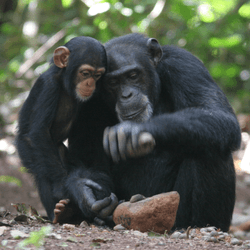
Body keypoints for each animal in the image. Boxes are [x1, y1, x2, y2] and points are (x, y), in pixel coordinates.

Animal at [15, 36, 117, 224]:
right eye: (85, 73)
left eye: (97, 75)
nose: (90, 83)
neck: (65, 84)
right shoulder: (47, 86)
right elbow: (39, 132)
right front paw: (71, 187)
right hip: (25, 149)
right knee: (41, 169)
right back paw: (60, 213)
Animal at [66, 33, 240, 232]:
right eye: (112, 82)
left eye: (133, 75)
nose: (126, 95)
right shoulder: (86, 93)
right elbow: (86, 160)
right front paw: (85, 191)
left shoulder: (185, 65)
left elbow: (217, 113)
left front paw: (132, 131)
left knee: (210, 146)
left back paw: (202, 225)